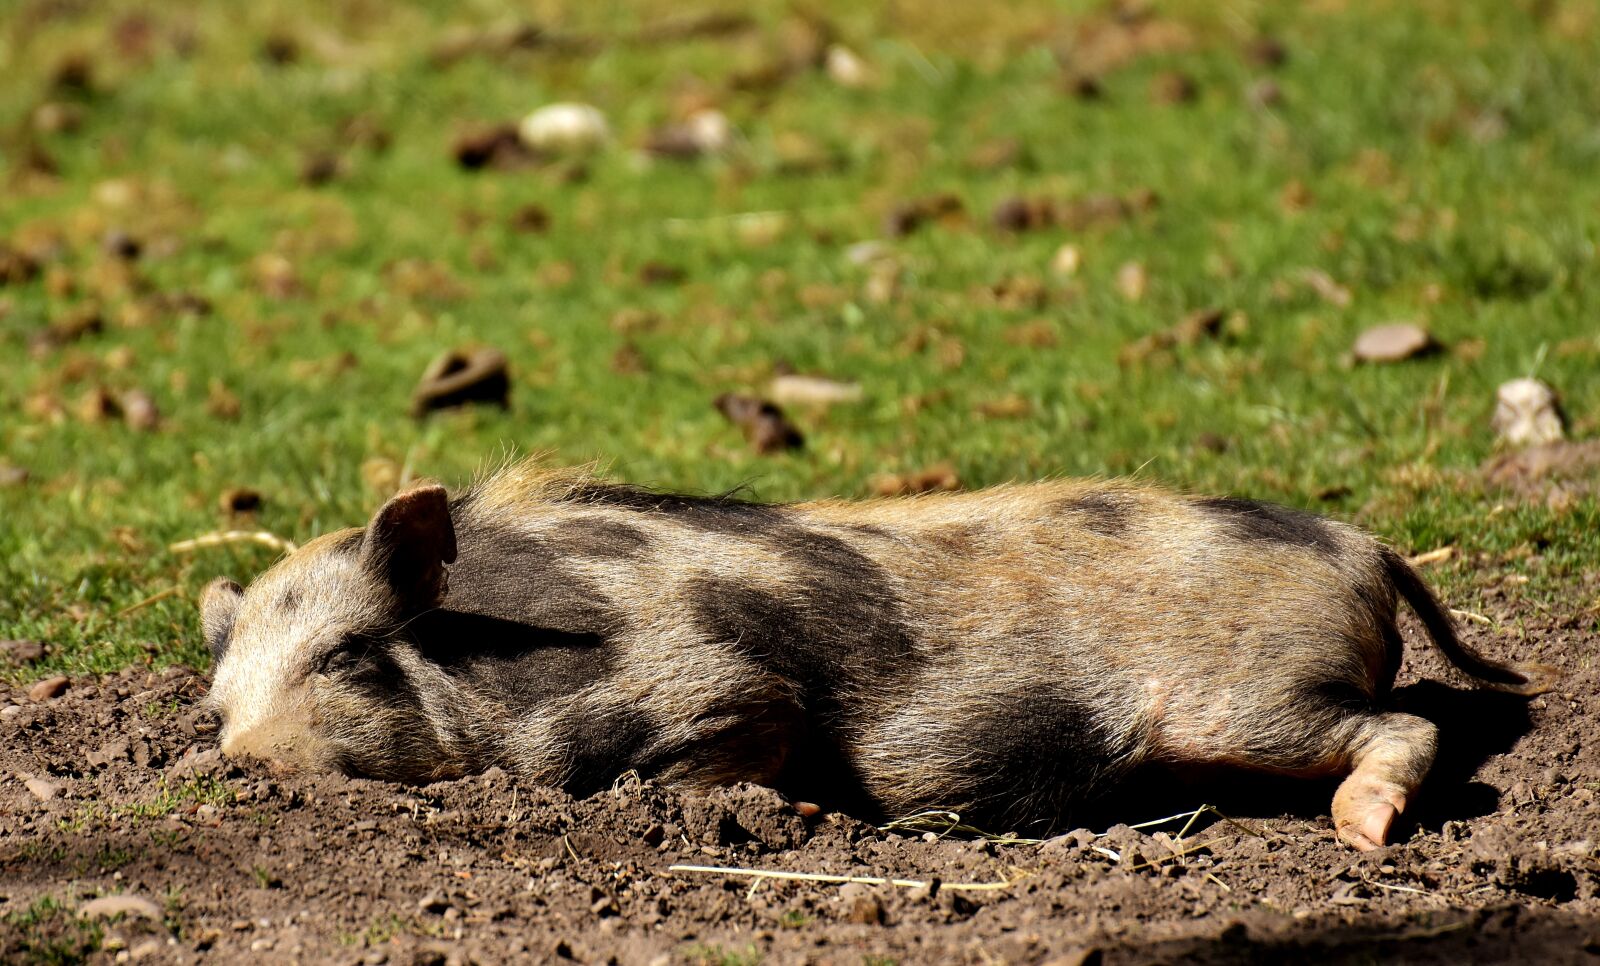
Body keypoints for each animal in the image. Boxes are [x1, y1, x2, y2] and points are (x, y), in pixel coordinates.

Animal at [201, 462, 1559, 850]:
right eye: (216, 702)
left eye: (347, 654)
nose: (236, 763)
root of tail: (1362, 542)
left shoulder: (723, 683)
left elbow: (721, 748)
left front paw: (774, 817)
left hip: (1252, 698)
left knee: (1408, 727)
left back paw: (1363, 837)